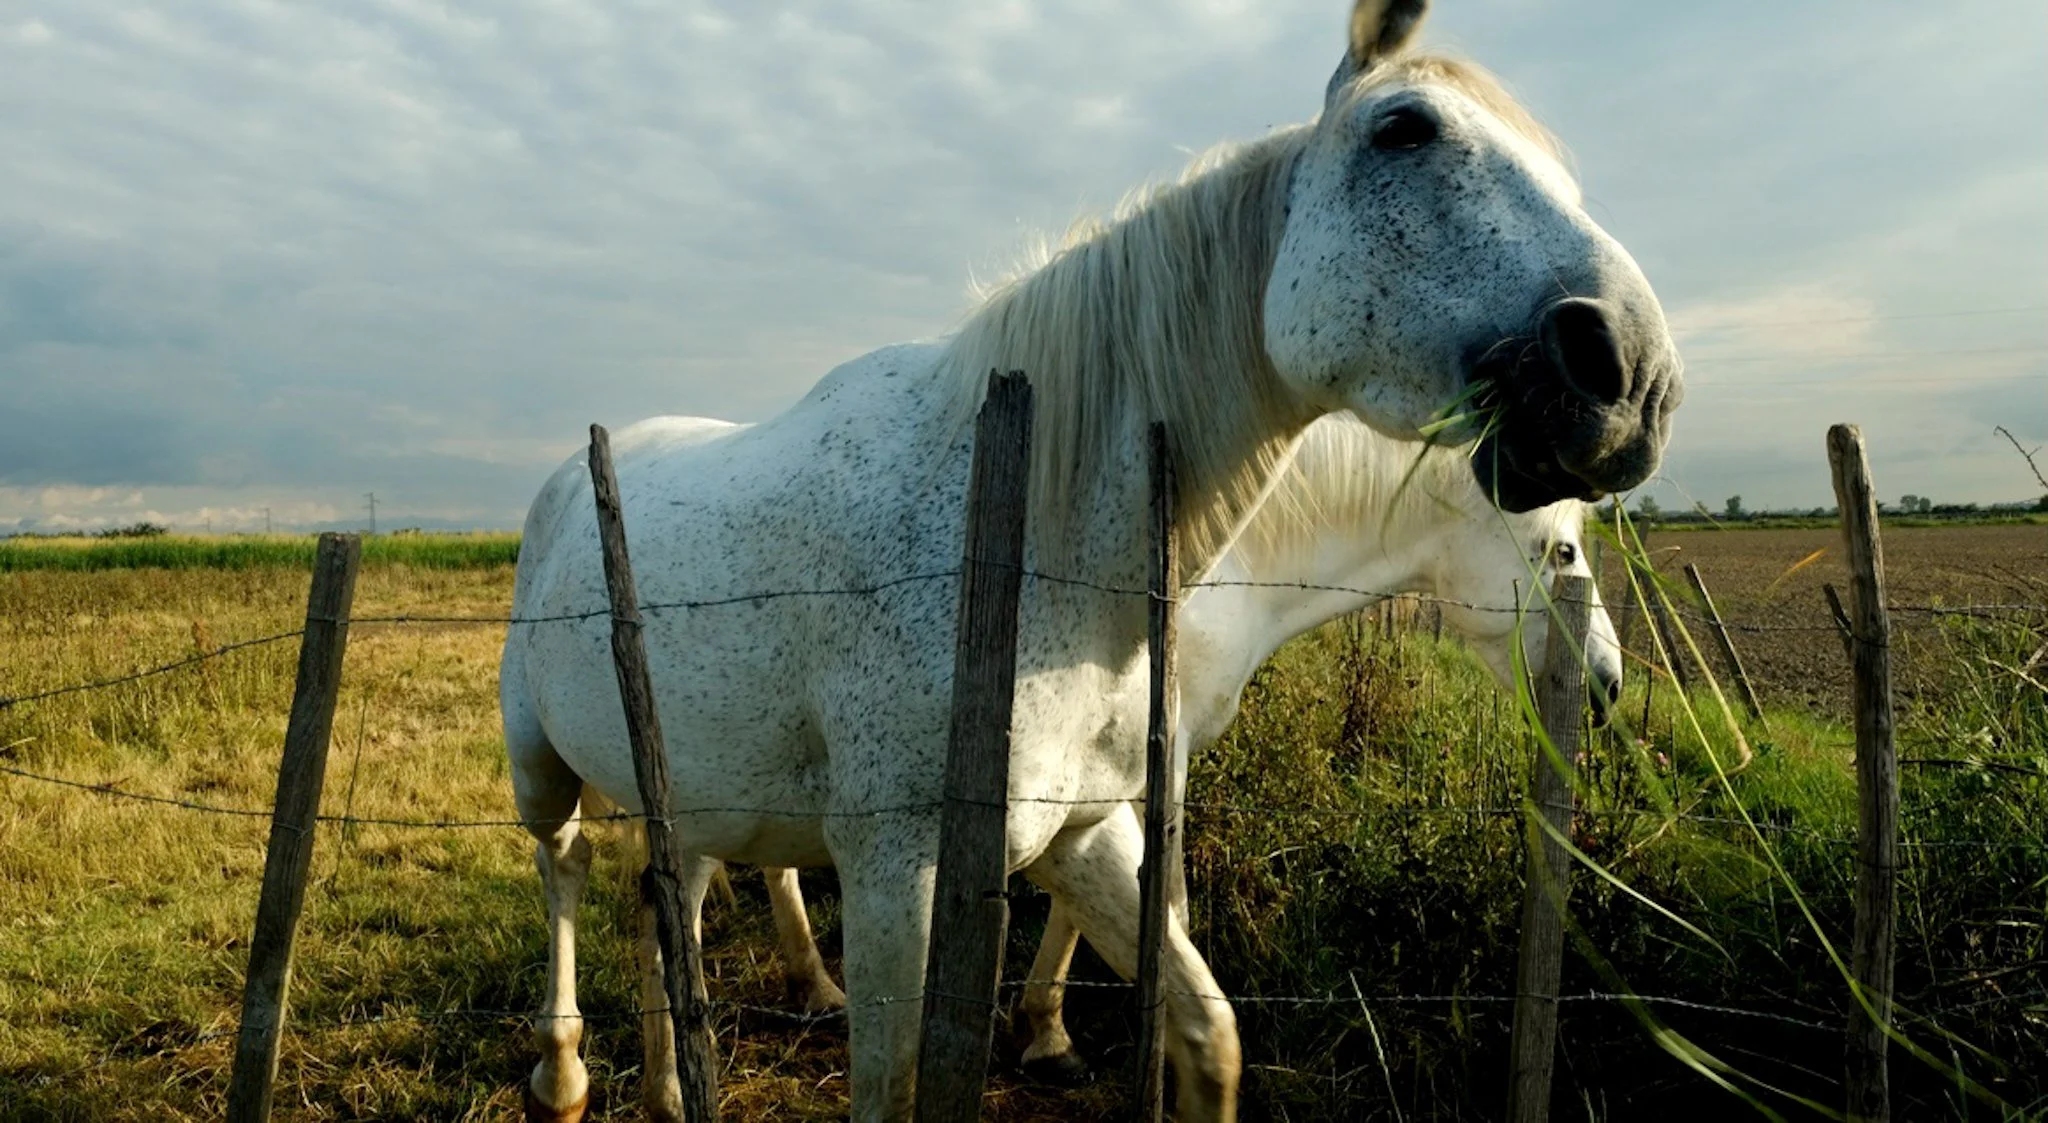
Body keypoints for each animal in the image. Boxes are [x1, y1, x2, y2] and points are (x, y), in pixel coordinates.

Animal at [721, 412, 1624, 1084]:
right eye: (1565, 550)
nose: (1610, 682)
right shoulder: (1163, 754)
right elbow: (1168, 902)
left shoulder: (1107, 771)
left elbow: (1085, 901)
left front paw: (1046, 1029)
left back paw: (810, 979)